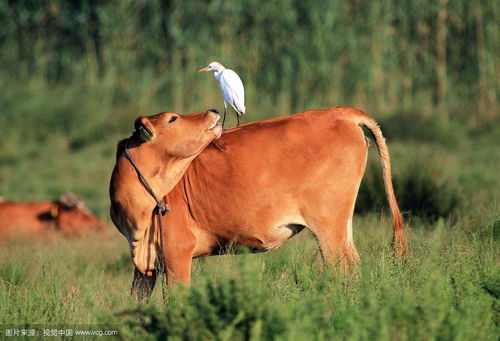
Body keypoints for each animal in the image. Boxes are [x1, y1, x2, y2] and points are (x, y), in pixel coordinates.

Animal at [110, 106, 406, 298]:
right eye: (172, 118)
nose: (213, 110)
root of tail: (340, 112)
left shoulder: (177, 252)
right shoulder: (145, 266)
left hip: (328, 227)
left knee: (342, 269)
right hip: (342, 225)